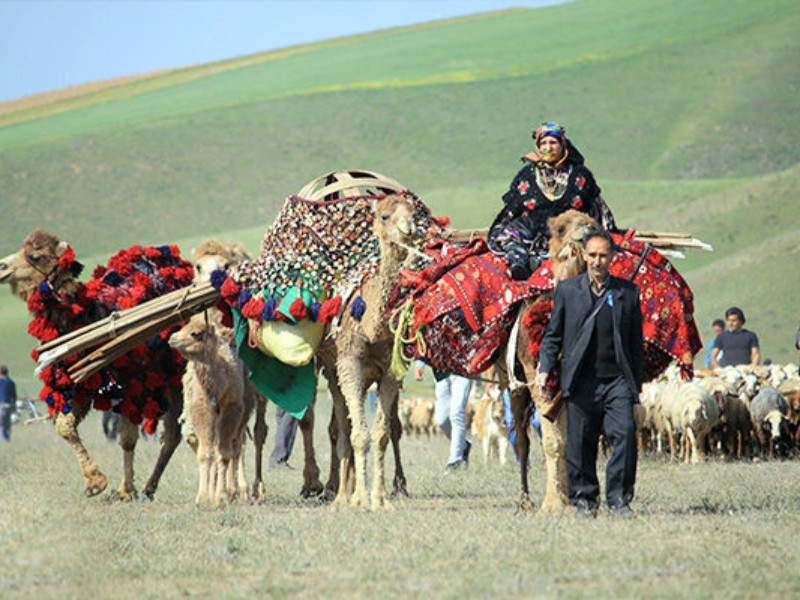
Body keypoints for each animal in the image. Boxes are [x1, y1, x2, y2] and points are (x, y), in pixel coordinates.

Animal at [0, 232, 189, 500]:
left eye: (35, 256)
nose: (2, 267)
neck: (87, 318)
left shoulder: (131, 384)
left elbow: (127, 439)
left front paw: (125, 490)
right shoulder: (81, 385)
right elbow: (65, 426)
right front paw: (95, 482)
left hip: (175, 374)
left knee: (173, 432)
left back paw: (150, 486)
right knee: (173, 433)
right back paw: (150, 487)